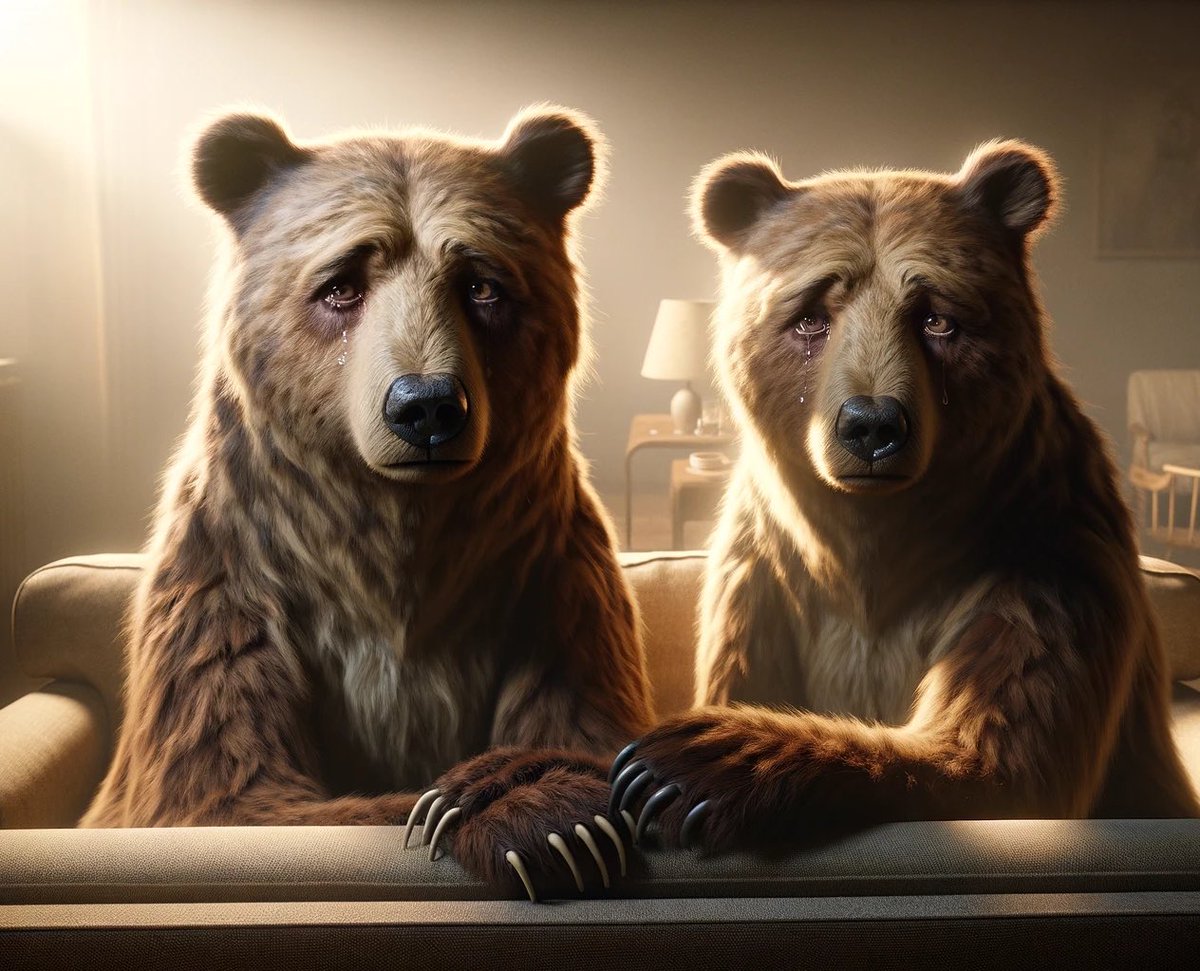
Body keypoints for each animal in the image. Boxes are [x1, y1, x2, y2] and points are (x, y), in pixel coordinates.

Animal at [82, 106, 654, 900]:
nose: (426, 405)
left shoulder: (546, 586)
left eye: (482, 284)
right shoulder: (232, 590)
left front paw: (531, 794)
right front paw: (515, 811)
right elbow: (232, 792)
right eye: (341, 285)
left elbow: (587, 721)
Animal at [609, 140, 1199, 852]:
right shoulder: (765, 575)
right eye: (811, 316)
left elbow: (1000, 750)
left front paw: (686, 764)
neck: (876, 552)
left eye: (937, 318)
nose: (871, 425)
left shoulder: (1043, 558)